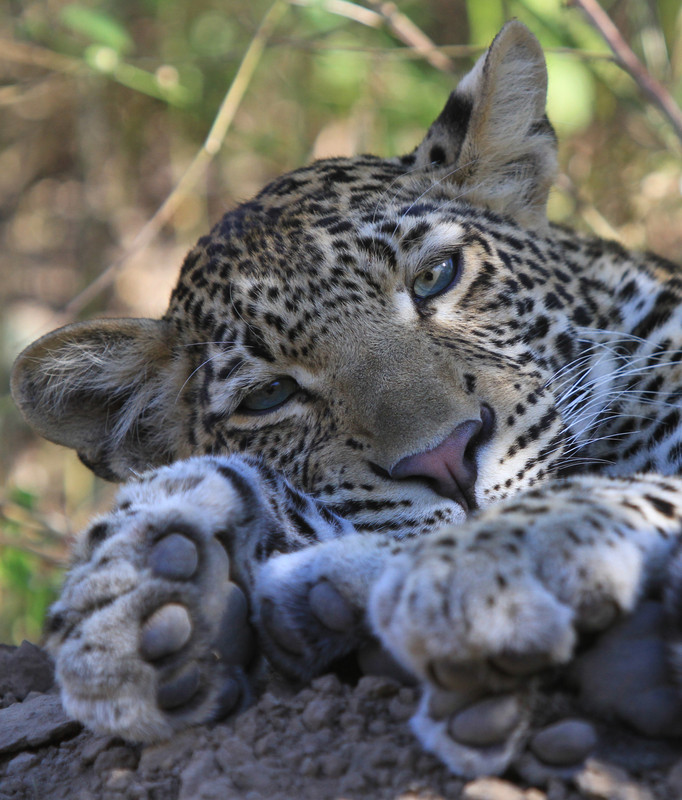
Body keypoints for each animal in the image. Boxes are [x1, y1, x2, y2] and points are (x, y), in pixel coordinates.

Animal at [10, 20, 682, 778]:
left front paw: (489, 570)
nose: (447, 459)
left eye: (436, 276)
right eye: (271, 394)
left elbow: (606, 490)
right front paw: (146, 587)